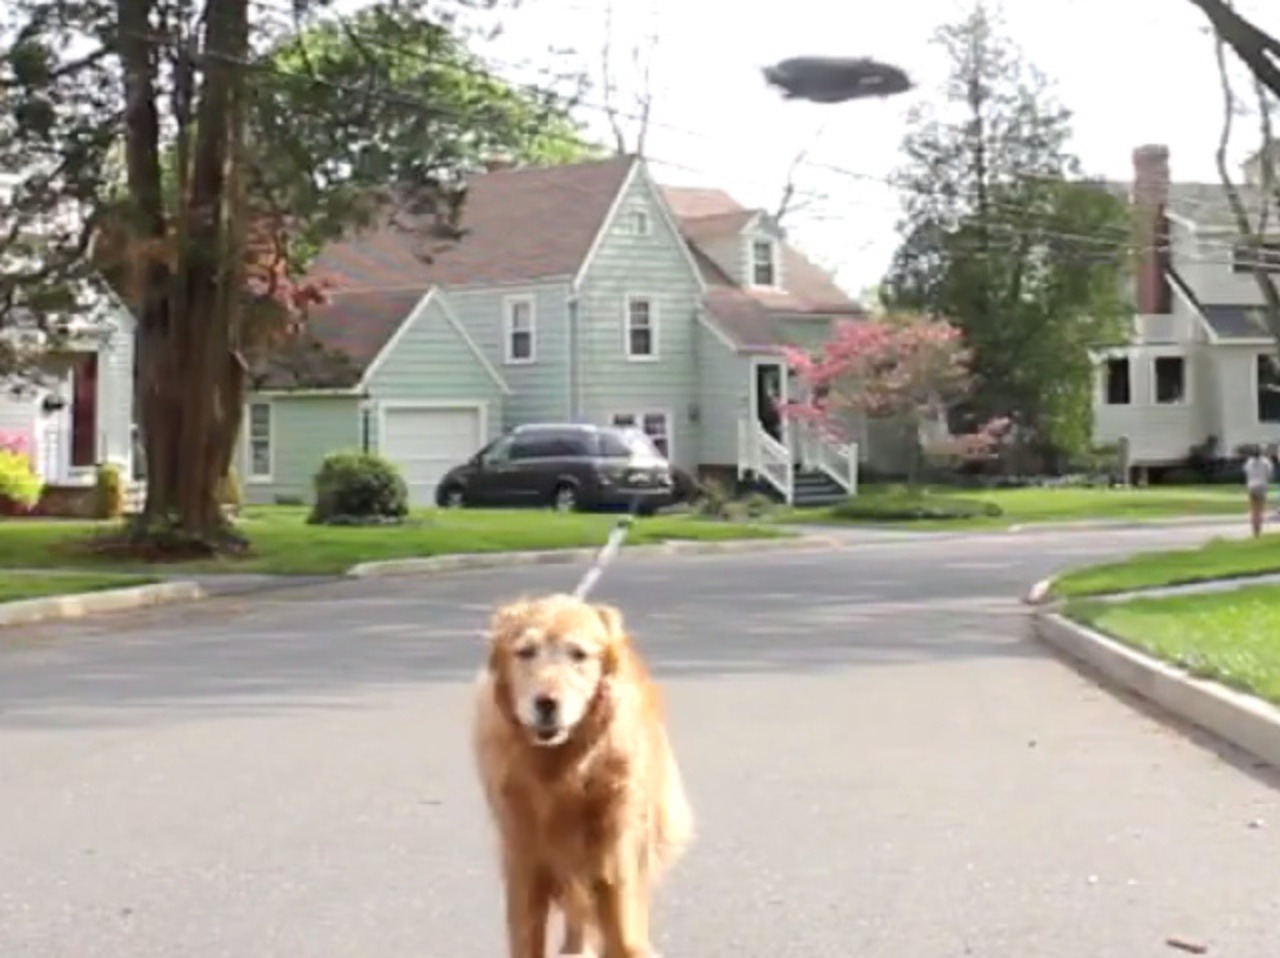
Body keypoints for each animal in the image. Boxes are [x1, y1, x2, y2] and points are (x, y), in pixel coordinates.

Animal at [472, 593, 694, 958]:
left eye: (578, 654)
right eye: (525, 651)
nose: (546, 703)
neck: (562, 769)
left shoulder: (614, 858)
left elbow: (625, 937)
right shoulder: (525, 859)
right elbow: (527, 938)